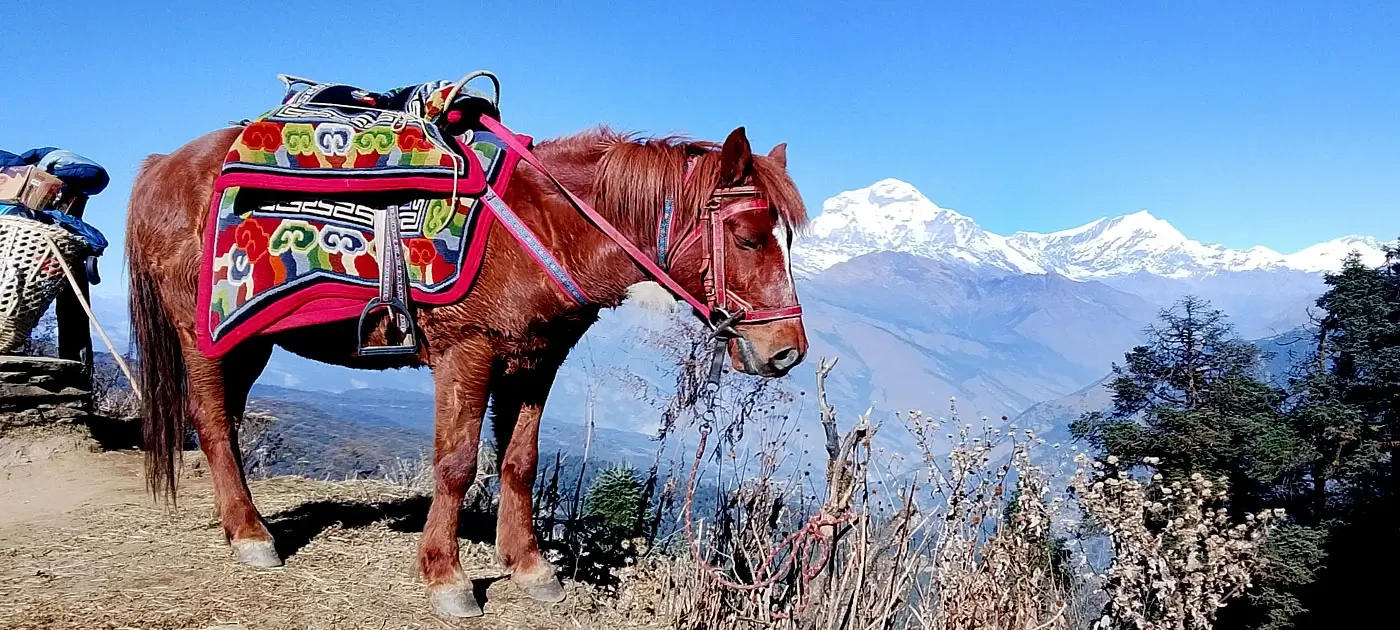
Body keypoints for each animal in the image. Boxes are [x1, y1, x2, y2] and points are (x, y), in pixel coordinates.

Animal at [125, 121, 809, 618]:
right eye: (749, 238)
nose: (786, 351)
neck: (544, 227)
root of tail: (160, 165)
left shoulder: (535, 362)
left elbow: (519, 463)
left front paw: (529, 567)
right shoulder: (467, 353)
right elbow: (456, 464)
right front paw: (446, 576)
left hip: (248, 342)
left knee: (230, 421)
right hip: (203, 335)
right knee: (212, 421)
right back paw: (251, 535)